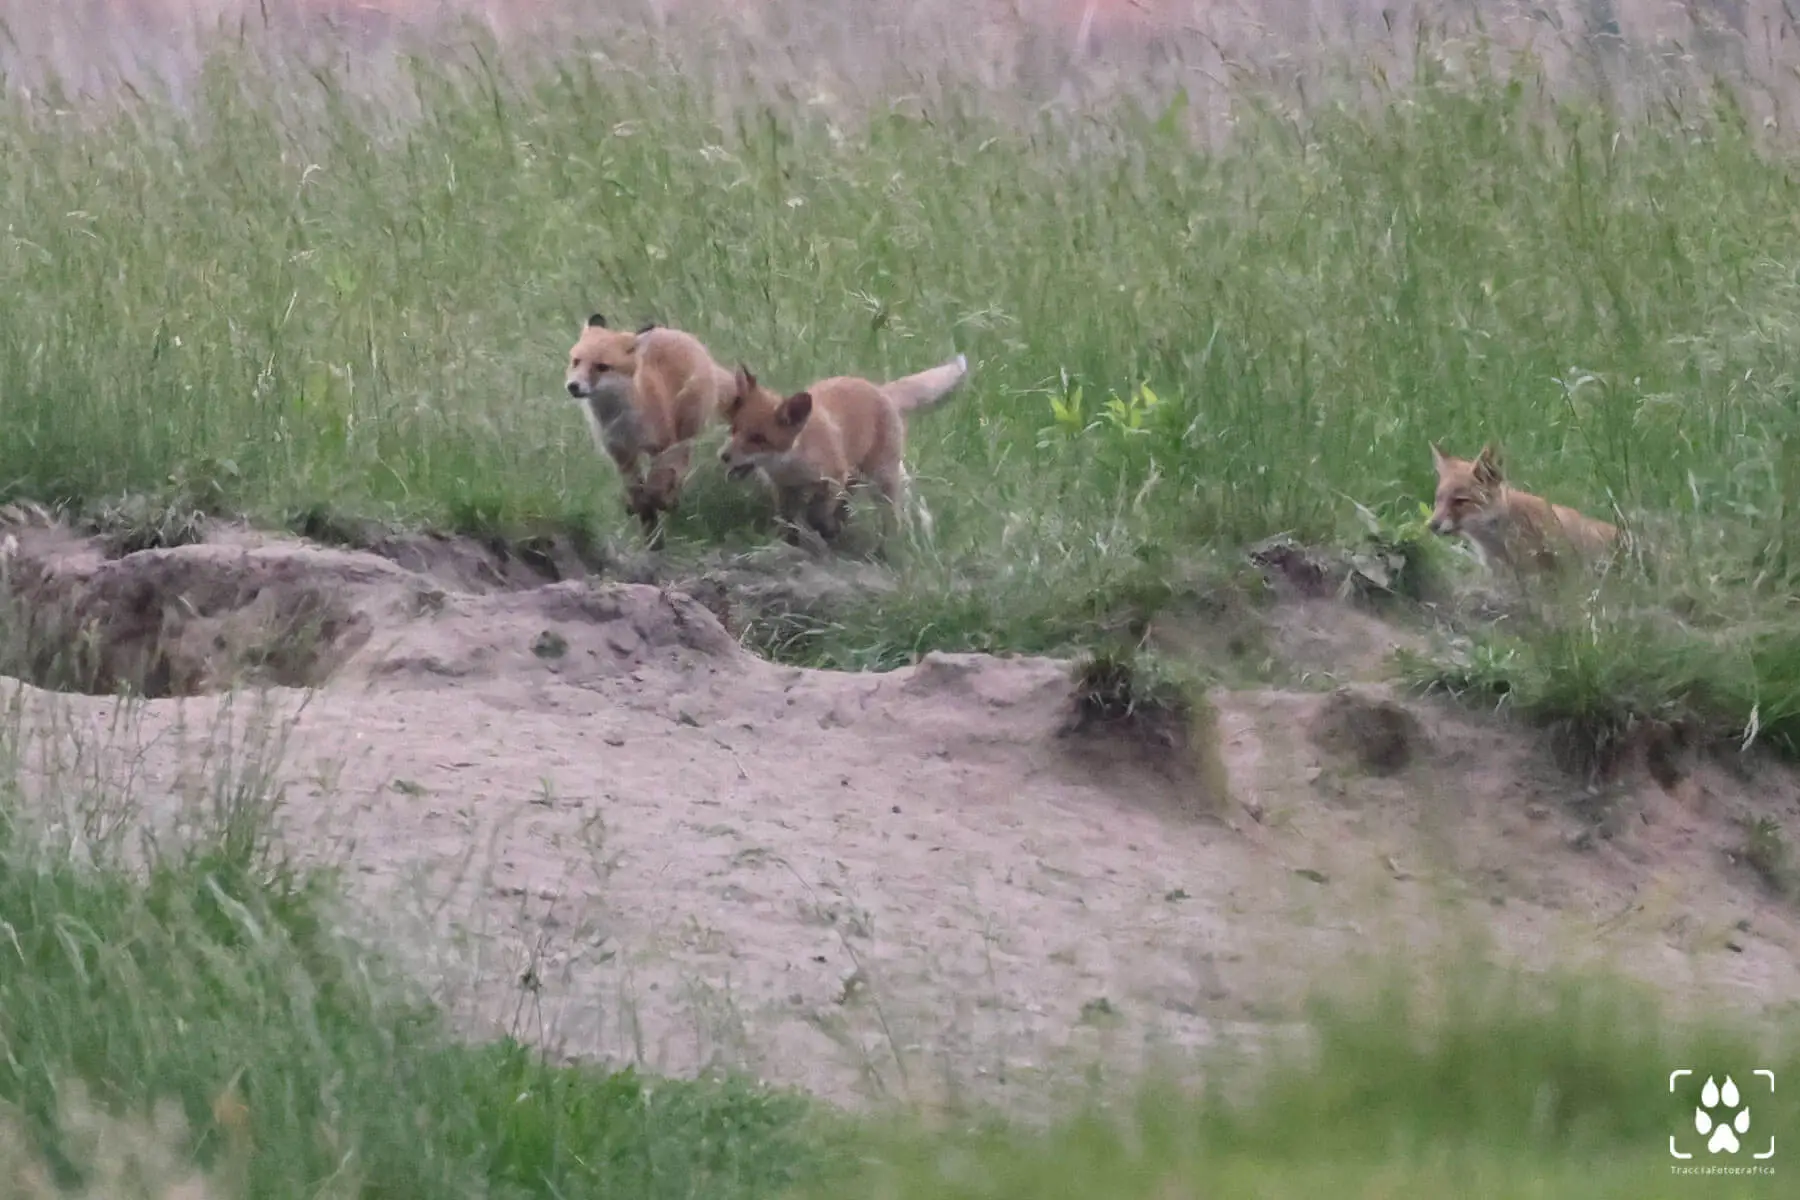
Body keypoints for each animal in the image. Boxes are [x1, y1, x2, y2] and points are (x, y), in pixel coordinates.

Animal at [564, 313, 736, 545]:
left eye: (601, 366)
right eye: (576, 361)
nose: (573, 386)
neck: (621, 422)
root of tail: (679, 333)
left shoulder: (661, 445)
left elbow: (656, 485)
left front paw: (657, 503)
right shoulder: (621, 454)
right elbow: (636, 489)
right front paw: (647, 524)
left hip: (685, 431)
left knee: (681, 465)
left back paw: (671, 497)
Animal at [718, 353, 971, 547]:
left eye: (758, 438)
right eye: (735, 429)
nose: (723, 456)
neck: (793, 463)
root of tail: (879, 389)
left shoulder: (834, 477)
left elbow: (818, 515)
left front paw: (824, 530)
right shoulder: (784, 489)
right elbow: (787, 521)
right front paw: (790, 544)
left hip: (880, 479)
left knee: (892, 514)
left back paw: (887, 548)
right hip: (860, 477)